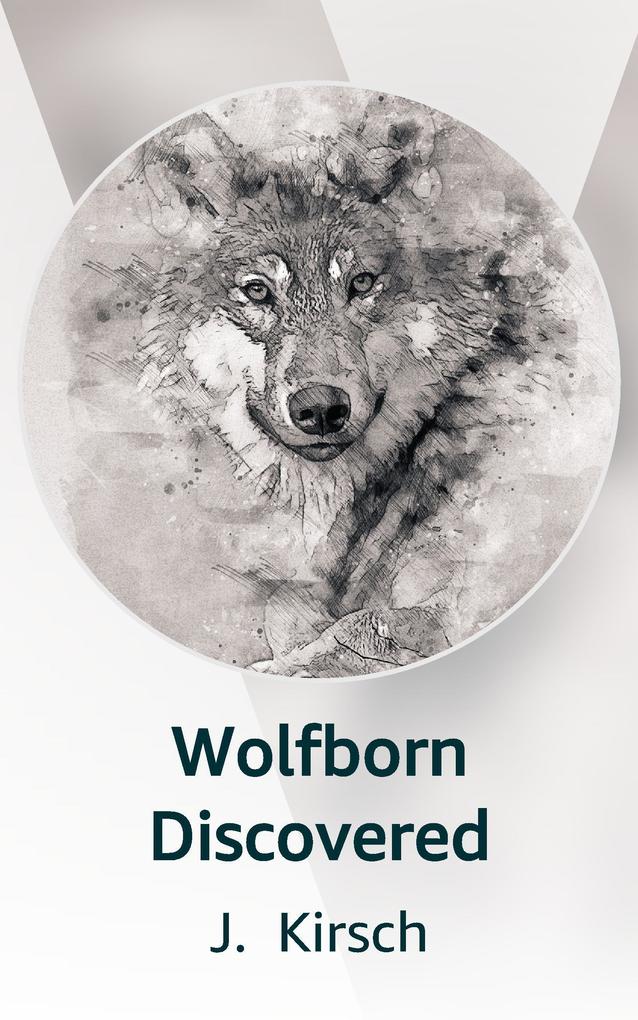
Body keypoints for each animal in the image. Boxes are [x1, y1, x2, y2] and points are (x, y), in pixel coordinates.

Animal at [101, 90, 582, 676]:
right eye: (257, 291)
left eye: (362, 283)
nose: (321, 409)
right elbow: (294, 612)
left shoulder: (463, 593)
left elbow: (355, 627)